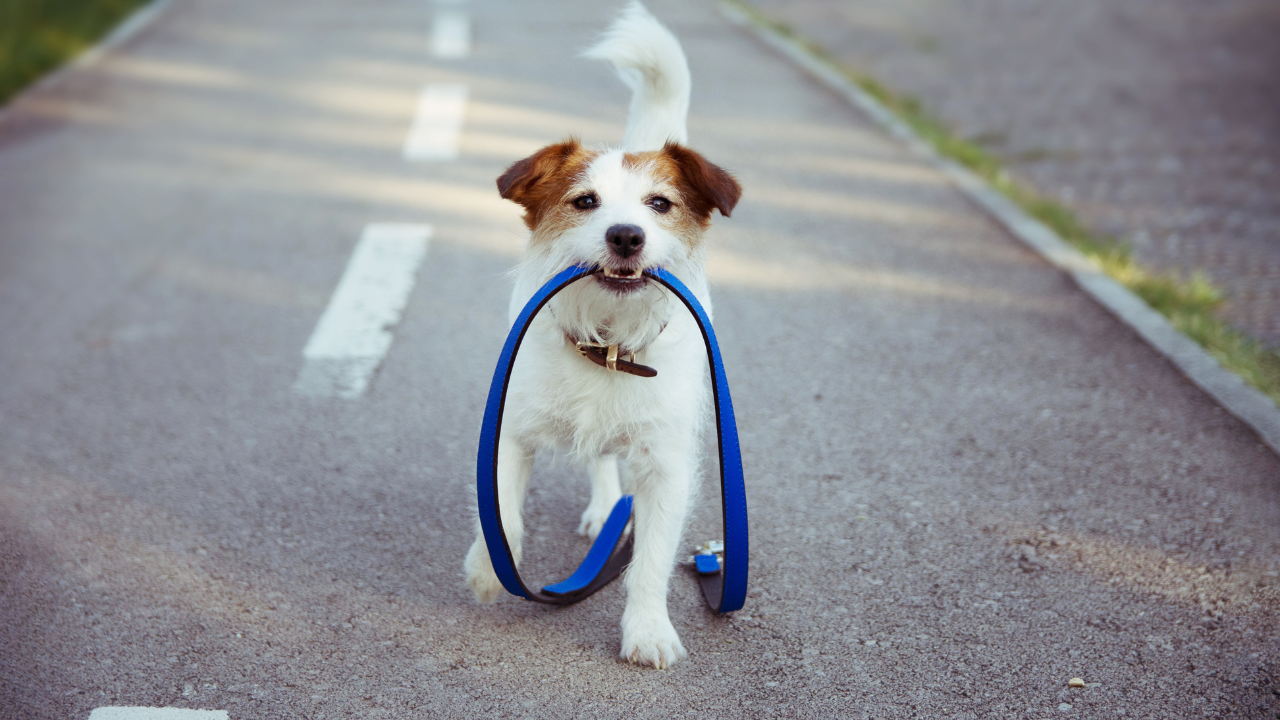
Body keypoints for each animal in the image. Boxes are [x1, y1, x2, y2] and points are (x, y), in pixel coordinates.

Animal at [463, 1, 742, 666]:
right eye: (585, 201)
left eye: (660, 204)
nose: (626, 235)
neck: (609, 344)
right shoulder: (508, 431)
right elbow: (501, 509)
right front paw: (488, 568)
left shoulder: (666, 466)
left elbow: (651, 562)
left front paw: (647, 630)